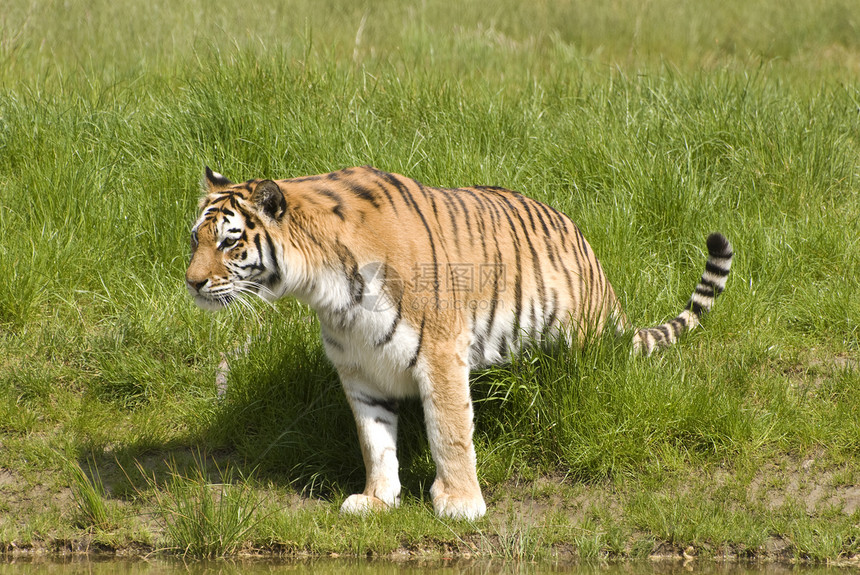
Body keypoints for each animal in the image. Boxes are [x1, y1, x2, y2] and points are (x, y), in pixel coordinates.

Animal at [186, 164, 732, 520]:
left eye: (230, 241)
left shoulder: (440, 354)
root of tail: (591, 255)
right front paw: (378, 499)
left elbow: (449, 432)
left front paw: (461, 503)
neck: (326, 290)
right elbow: (374, 440)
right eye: (196, 238)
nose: (190, 283)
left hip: (581, 344)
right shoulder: (359, 370)